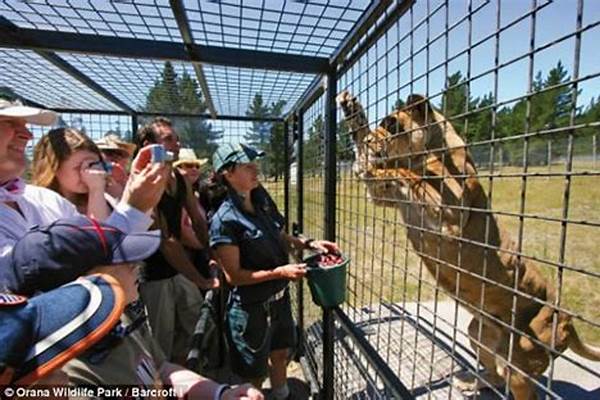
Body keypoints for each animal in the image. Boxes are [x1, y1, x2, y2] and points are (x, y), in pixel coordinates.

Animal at [338, 91, 600, 400]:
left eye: (391, 124)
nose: (371, 143)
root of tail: (568, 317)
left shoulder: (450, 217)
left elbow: (404, 172)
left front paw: (370, 162)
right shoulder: (385, 197)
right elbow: (382, 159)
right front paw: (352, 113)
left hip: (519, 359)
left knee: (518, 384)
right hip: (479, 333)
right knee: (494, 374)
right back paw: (469, 383)